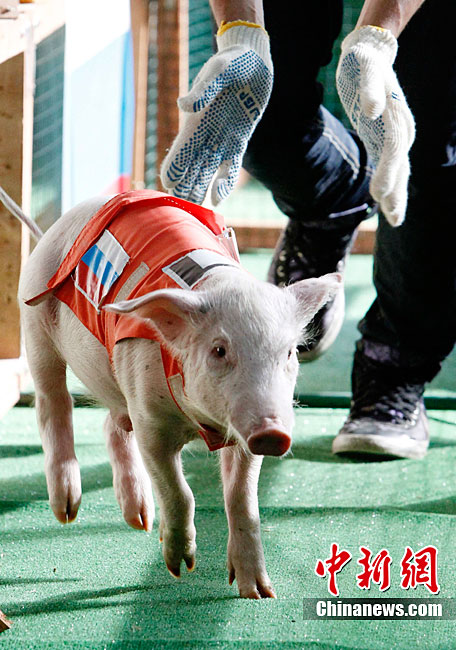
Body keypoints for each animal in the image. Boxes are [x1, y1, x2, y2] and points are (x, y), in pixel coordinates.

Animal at [17, 192, 341, 599]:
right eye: (219, 350)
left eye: (289, 353)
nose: (273, 432)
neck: (199, 423)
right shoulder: (150, 422)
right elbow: (178, 490)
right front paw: (179, 569)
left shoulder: (238, 433)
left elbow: (242, 499)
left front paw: (257, 592)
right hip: (35, 323)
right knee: (53, 404)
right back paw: (66, 510)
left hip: (116, 384)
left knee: (112, 425)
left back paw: (139, 519)